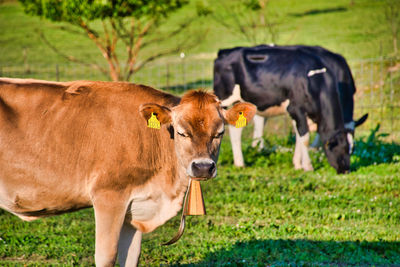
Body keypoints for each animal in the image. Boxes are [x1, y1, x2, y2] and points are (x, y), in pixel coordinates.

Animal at [0, 79, 256, 267]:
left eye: (219, 133)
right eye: (181, 132)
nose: (203, 167)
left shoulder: (135, 206)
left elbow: (131, 257)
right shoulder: (109, 197)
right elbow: (106, 256)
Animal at [214, 45, 364, 175]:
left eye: (351, 150)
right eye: (340, 148)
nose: (346, 170)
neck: (314, 81)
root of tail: (225, 51)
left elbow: (299, 136)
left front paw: (297, 164)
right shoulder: (296, 108)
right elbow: (304, 138)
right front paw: (308, 166)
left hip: (239, 102)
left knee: (236, 130)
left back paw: (240, 163)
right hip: (224, 99)